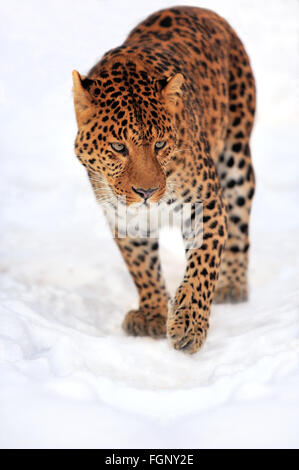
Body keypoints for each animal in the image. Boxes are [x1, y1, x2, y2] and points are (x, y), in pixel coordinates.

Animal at [72, 6, 255, 352]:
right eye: (119, 147)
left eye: (159, 145)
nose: (147, 192)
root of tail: (198, 8)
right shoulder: (123, 216)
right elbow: (142, 267)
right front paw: (153, 313)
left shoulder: (206, 204)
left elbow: (203, 264)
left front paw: (189, 324)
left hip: (237, 158)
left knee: (239, 224)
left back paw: (233, 286)